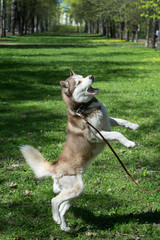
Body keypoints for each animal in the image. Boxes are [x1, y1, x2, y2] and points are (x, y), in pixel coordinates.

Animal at [20, 69, 140, 231]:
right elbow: (117, 133)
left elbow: (121, 121)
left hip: (74, 191)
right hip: (75, 188)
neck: (84, 108)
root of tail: (54, 165)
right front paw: (129, 143)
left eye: (82, 76)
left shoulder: (107, 122)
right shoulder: (96, 134)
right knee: (54, 201)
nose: (91, 76)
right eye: (78, 82)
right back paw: (56, 218)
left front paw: (134, 126)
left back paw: (63, 226)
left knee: (62, 206)